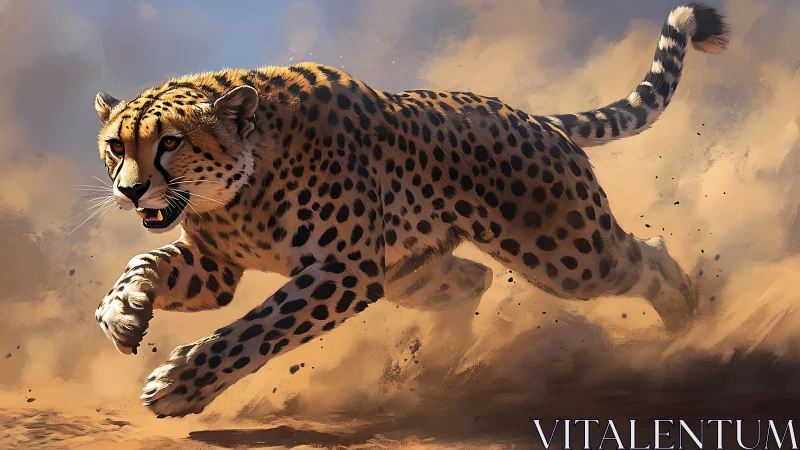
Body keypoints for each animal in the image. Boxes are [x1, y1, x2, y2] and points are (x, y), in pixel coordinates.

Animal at [92, 4, 729, 418]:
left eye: (171, 142)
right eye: (116, 146)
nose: (130, 191)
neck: (239, 190)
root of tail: (532, 116)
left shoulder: (344, 270)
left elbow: (257, 328)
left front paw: (180, 382)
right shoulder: (216, 267)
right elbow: (142, 264)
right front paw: (122, 313)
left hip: (566, 255)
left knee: (642, 256)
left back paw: (687, 324)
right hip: (408, 270)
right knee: (473, 278)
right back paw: (437, 366)